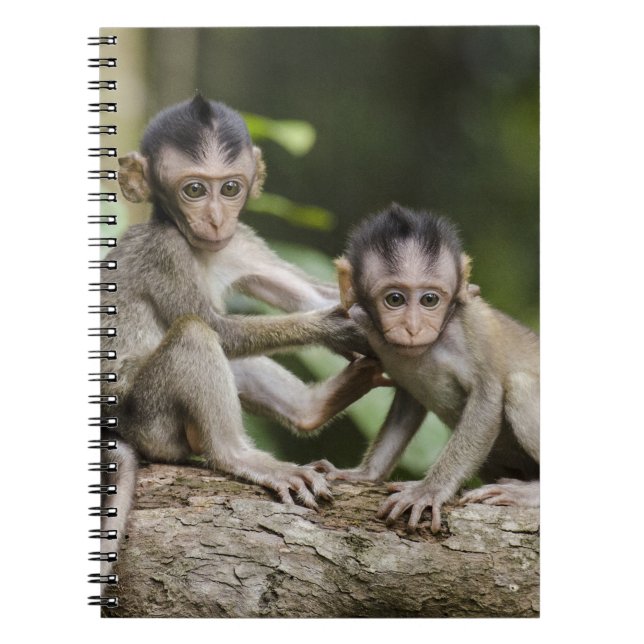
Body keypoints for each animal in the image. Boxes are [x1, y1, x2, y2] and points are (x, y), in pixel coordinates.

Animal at [98, 95, 383, 577]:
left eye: (230, 188)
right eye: (194, 190)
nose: (215, 220)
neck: (200, 249)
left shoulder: (240, 242)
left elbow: (308, 292)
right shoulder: (164, 251)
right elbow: (217, 328)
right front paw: (333, 327)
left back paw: (312, 408)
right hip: (150, 421)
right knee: (195, 335)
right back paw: (238, 455)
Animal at [312, 204, 539, 533]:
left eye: (429, 299)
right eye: (395, 299)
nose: (413, 328)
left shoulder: (473, 327)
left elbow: (487, 397)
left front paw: (428, 490)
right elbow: (408, 402)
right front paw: (363, 474)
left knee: (520, 386)